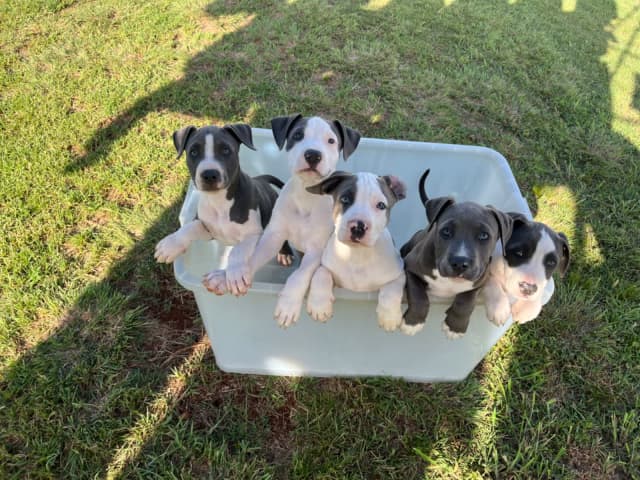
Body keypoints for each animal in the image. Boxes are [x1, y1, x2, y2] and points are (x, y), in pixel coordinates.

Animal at [155, 124, 290, 292]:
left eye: (226, 150)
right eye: (193, 152)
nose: (209, 174)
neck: (219, 201)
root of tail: (260, 179)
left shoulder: (254, 234)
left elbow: (237, 251)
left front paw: (235, 275)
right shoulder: (209, 230)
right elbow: (190, 227)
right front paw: (170, 245)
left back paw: (285, 254)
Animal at [231, 114, 360, 328]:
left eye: (331, 141)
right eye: (298, 135)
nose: (313, 155)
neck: (306, 195)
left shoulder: (315, 251)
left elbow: (298, 275)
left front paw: (288, 305)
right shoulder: (272, 237)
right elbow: (256, 256)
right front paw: (236, 274)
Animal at [304, 171, 404, 332]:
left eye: (381, 205)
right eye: (345, 199)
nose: (358, 227)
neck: (357, 255)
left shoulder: (400, 273)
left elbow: (392, 288)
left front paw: (389, 316)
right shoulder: (329, 270)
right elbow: (321, 273)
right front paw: (319, 305)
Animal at [400, 169, 516, 338]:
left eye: (484, 235)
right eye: (446, 231)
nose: (460, 263)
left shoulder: (479, 282)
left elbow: (466, 301)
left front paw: (455, 327)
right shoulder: (410, 268)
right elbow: (419, 295)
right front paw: (413, 323)